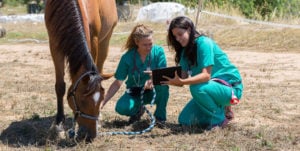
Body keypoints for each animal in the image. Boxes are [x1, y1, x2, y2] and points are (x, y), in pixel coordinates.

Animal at [44, 0, 117, 142]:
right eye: (82, 100)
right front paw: (59, 124)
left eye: (101, 98)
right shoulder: (54, 43)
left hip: (105, 40)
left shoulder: (94, 39)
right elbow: (60, 86)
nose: (90, 135)